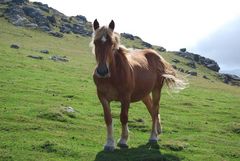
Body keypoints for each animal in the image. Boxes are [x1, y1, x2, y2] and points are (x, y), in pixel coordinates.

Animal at [91, 19, 187, 152]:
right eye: (95, 42)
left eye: (111, 43)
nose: (102, 71)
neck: (113, 76)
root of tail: (158, 57)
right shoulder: (103, 98)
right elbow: (108, 118)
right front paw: (109, 143)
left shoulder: (125, 98)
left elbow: (123, 117)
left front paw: (123, 140)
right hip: (144, 95)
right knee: (152, 110)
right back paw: (157, 131)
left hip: (156, 90)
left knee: (155, 110)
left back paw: (153, 137)